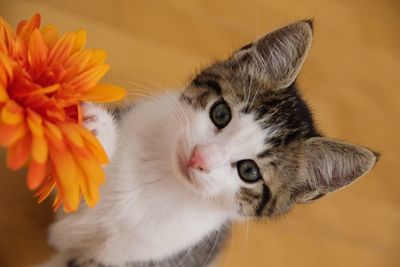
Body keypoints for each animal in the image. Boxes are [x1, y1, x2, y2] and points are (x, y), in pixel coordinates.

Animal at [40, 20, 378, 267]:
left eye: (249, 171)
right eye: (220, 113)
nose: (199, 157)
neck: (161, 178)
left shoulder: (152, 257)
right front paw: (99, 133)